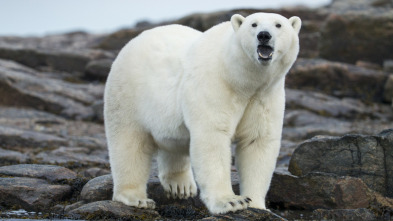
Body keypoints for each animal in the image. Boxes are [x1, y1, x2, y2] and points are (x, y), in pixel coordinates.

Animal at [104, 12, 300, 214]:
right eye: (253, 24)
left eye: (278, 25)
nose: (264, 35)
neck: (239, 78)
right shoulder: (215, 84)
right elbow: (212, 137)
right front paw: (231, 202)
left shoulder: (265, 96)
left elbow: (257, 141)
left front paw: (257, 205)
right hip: (128, 95)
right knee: (129, 144)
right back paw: (135, 198)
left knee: (173, 143)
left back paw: (180, 186)